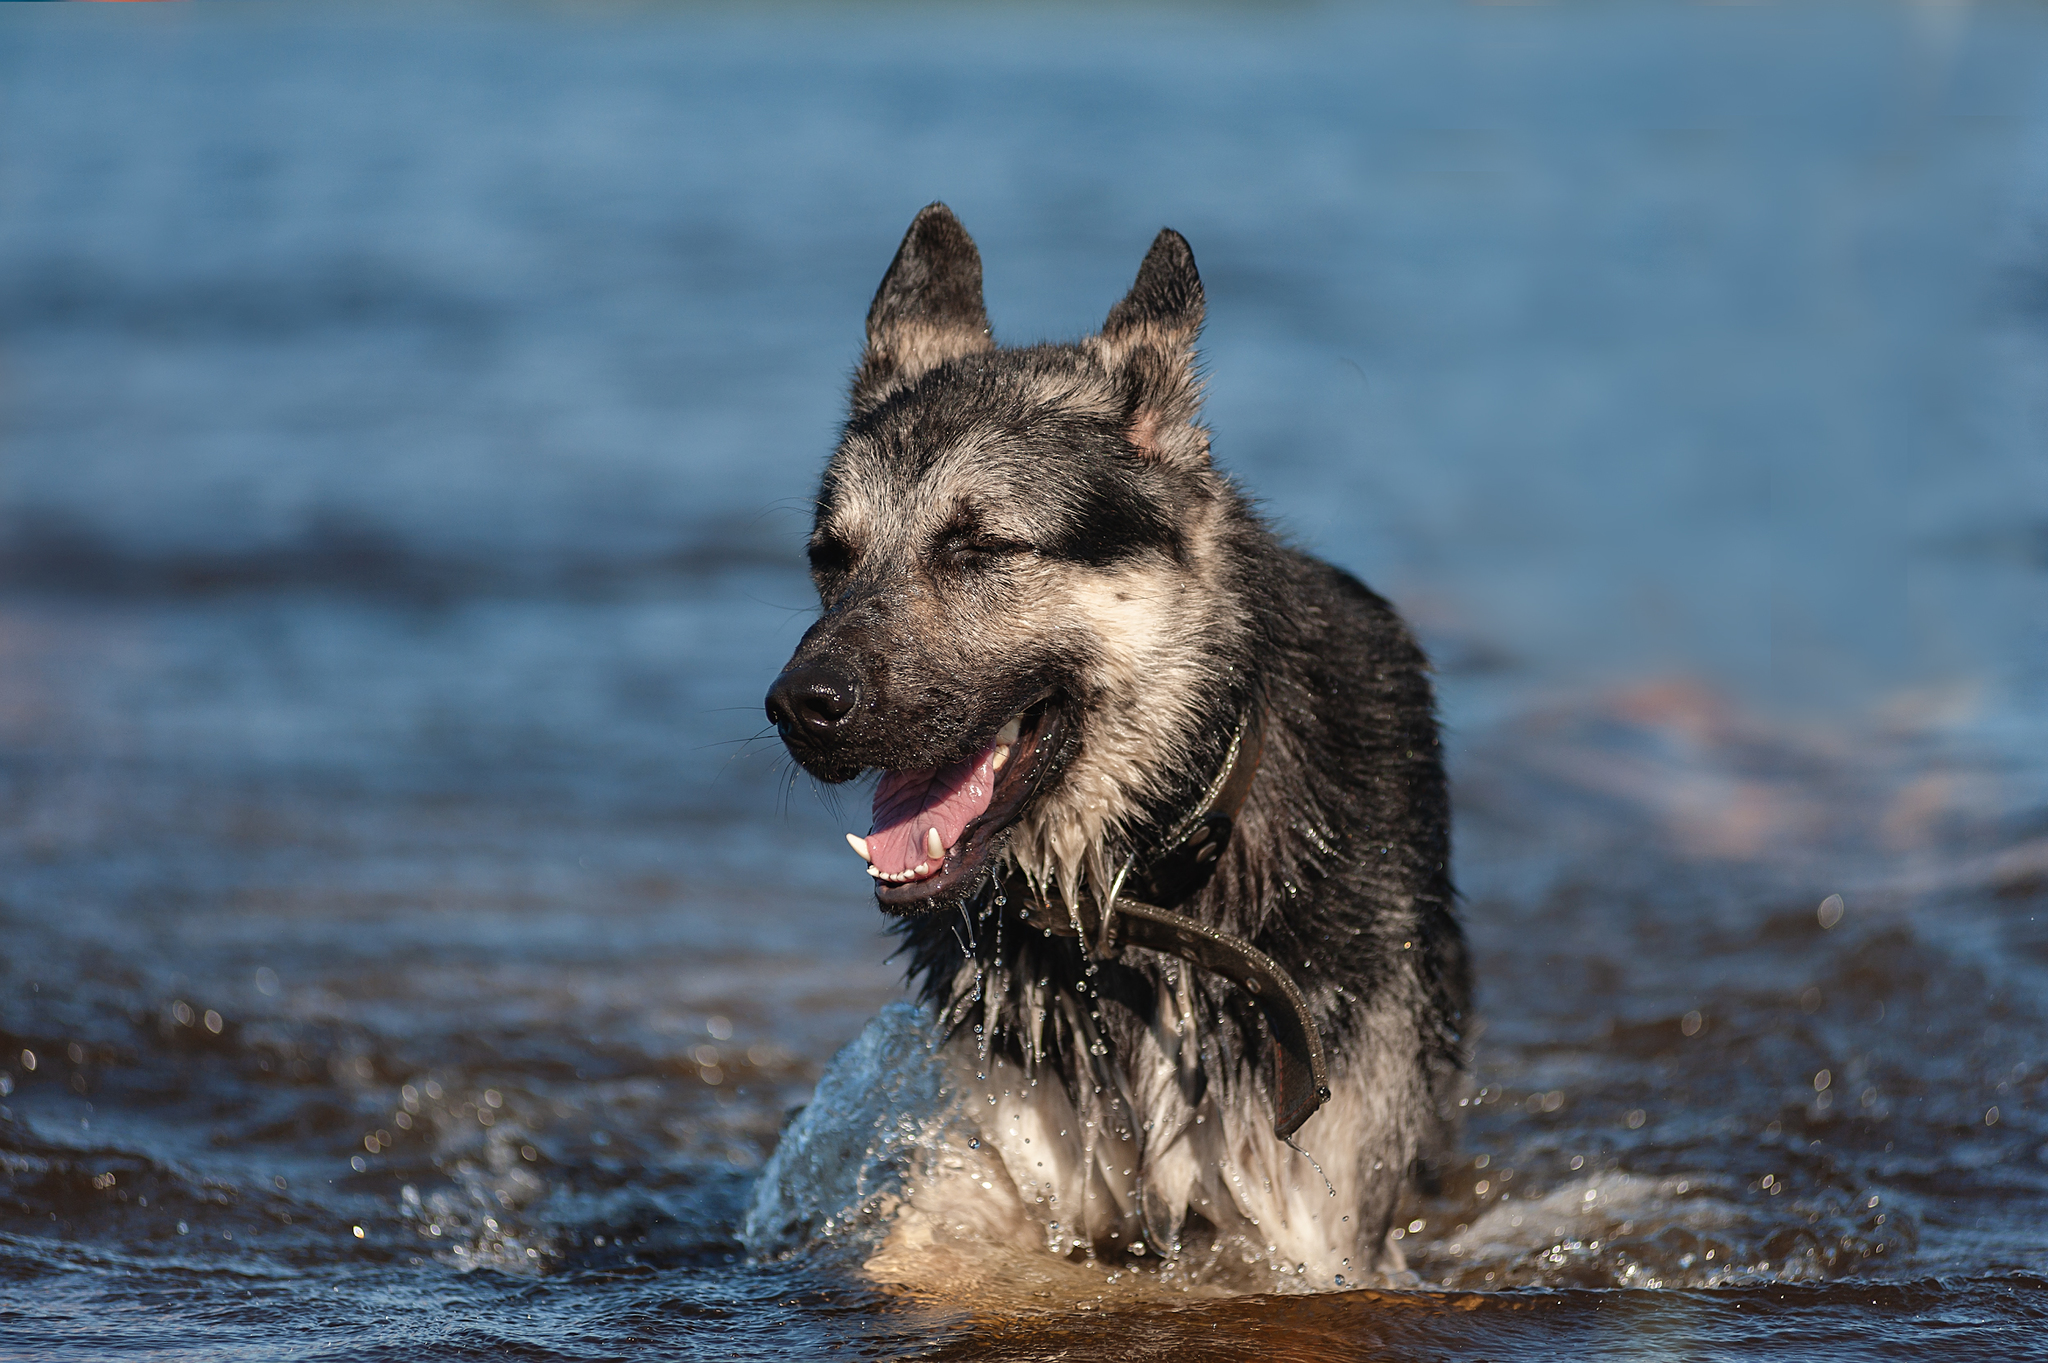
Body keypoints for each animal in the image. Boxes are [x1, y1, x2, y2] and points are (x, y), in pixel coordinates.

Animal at [753, 204, 1474, 1285]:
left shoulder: (1303, 1227)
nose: (797, 706)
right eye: (828, 557)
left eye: (979, 547)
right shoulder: (991, 1172)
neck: (1138, 886)